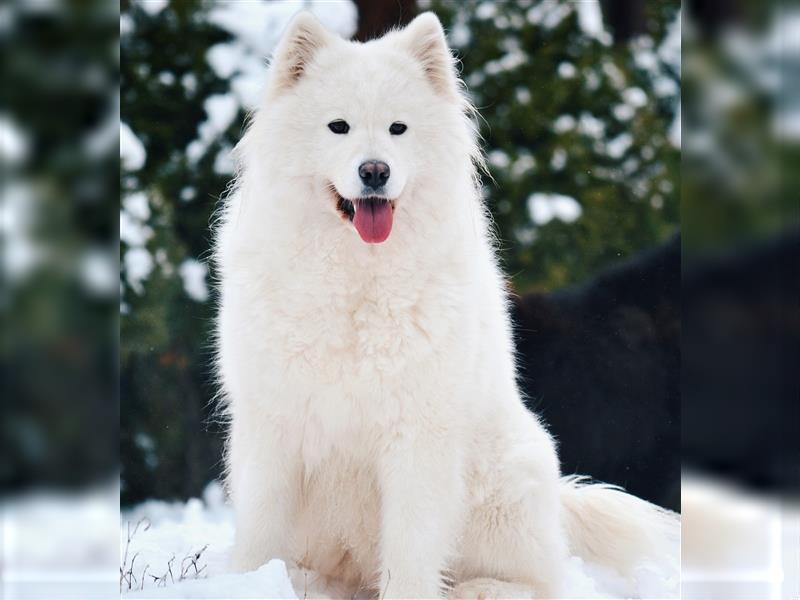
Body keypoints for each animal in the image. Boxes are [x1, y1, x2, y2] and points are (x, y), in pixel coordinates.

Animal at [216, 10, 680, 600]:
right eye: (338, 127)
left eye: (398, 129)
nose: (375, 171)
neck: (356, 277)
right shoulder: (272, 425)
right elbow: (260, 531)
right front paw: (251, 582)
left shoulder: (418, 434)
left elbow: (412, 547)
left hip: (506, 479)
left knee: (538, 581)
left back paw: (476, 589)